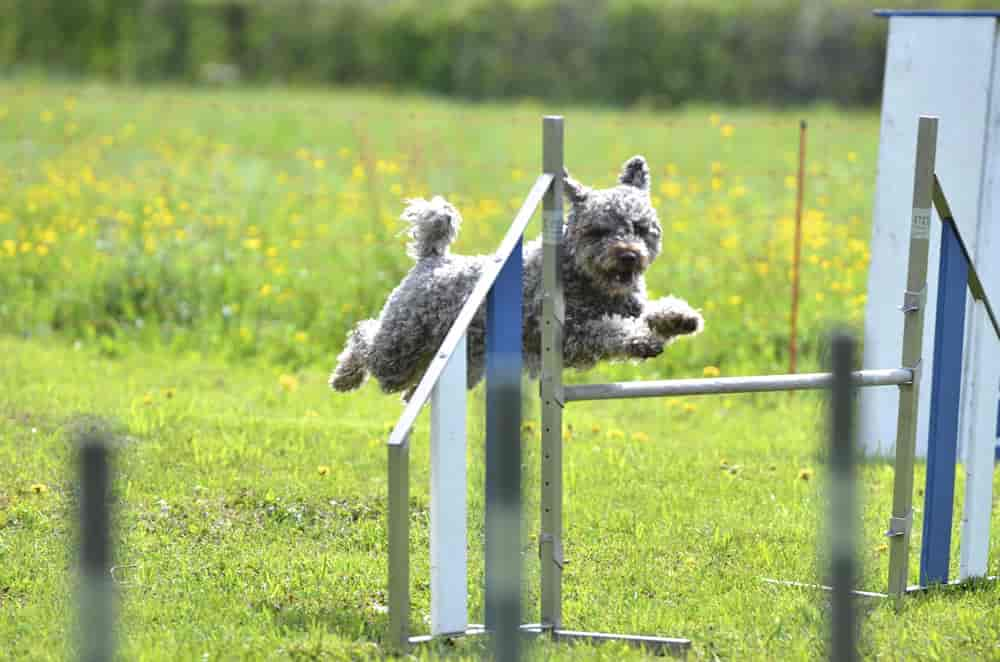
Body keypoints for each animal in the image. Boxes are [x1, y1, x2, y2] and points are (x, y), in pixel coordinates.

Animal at [330, 157, 704, 400]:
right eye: (598, 231)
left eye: (640, 227)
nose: (629, 255)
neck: (589, 282)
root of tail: (432, 258)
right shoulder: (573, 336)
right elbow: (611, 330)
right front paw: (641, 340)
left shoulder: (630, 307)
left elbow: (651, 312)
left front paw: (679, 318)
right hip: (398, 349)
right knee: (364, 336)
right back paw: (345, 376)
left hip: (463, 364)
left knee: (410, 384)